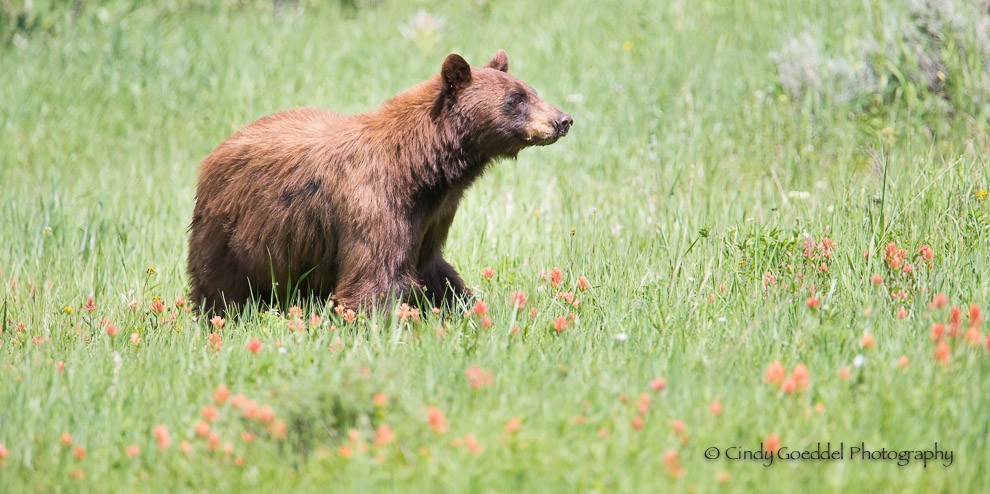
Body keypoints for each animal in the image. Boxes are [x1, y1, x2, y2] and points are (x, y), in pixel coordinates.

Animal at [188, 49, 572, 312]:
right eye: (516, 99)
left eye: (531, 90)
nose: (563, 119)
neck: (417, 168)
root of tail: (215, 150)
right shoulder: (374, 202)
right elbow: (373, 275)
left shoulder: (432, 216)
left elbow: (433, 267)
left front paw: (463, 307)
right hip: (232, 228)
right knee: (218, 283)